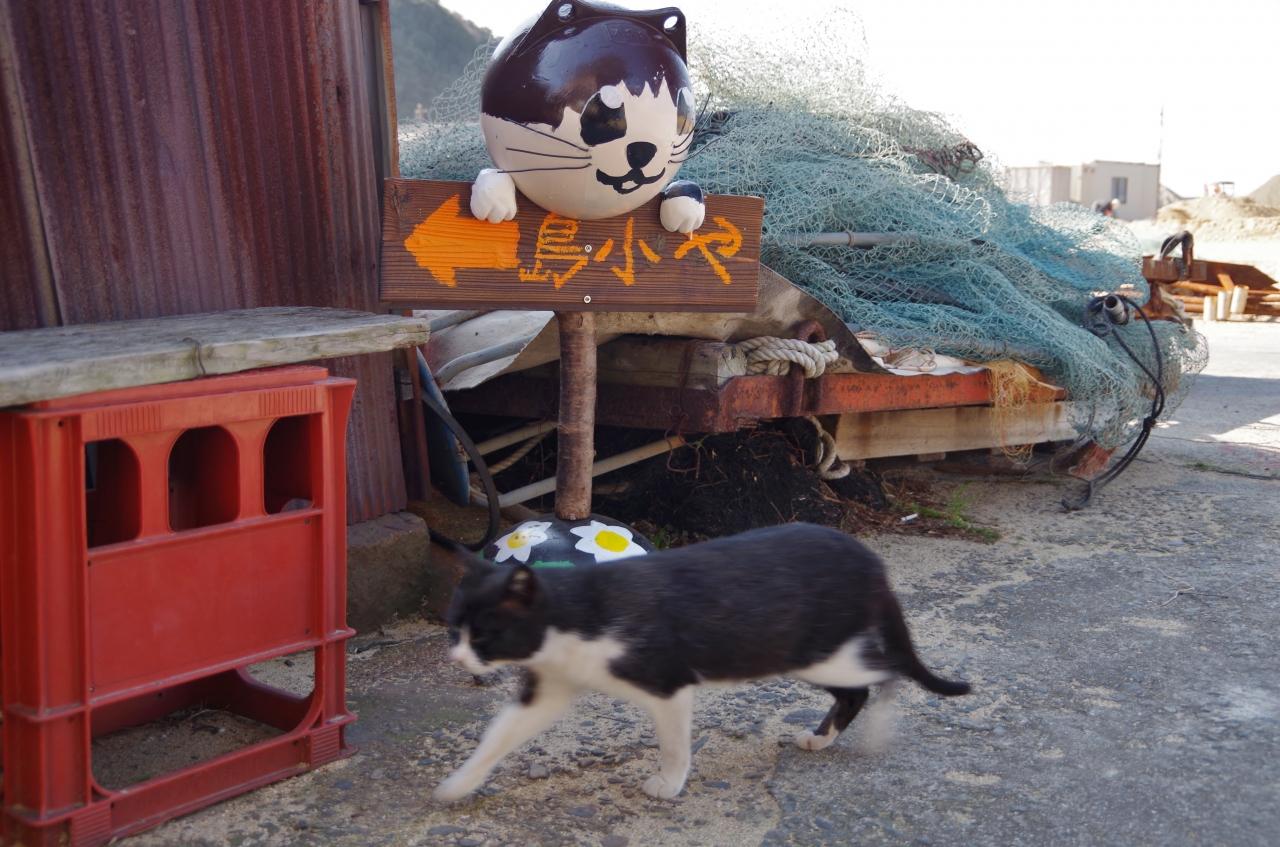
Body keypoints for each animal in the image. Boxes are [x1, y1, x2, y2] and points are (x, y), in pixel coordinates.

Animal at [434, 522, 971, 802]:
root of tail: (868, 559)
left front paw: (668, 784)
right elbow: (500, 734)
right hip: (799, 652)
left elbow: (674, 744)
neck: (572, 615)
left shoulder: (667, 681)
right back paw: (821, 739)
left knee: (883, 673)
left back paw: (873, 733)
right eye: (453, 627)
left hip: (815, 652)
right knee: (858, 687)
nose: (457, 657)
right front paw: (459, 784)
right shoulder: (551, 684)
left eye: (486, 635)